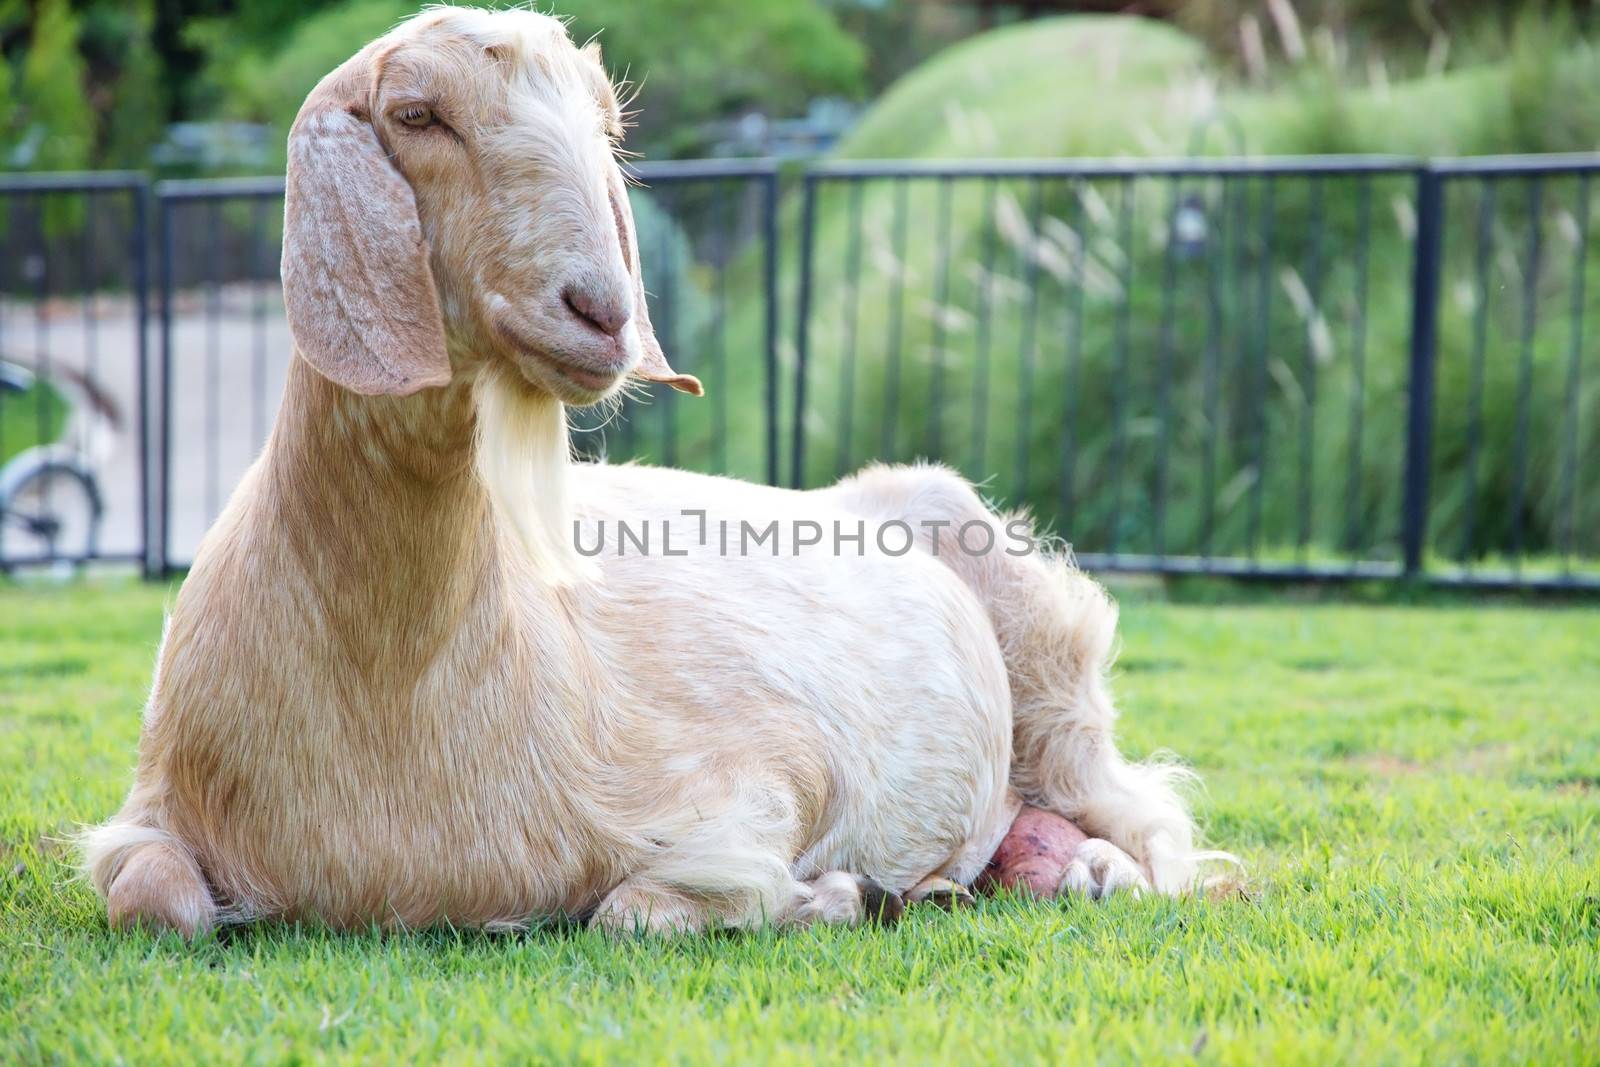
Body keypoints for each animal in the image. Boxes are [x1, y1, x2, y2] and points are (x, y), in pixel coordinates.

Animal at [81, 4, 1216, 934]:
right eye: (415, 113)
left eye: (608, 129)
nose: (601, 310)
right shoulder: (150, 805)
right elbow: (158, 899)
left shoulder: (759, 777)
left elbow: (635, 909)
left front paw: (831, 892)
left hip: (1052, 670)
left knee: (1148, 816)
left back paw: (1085, 873)